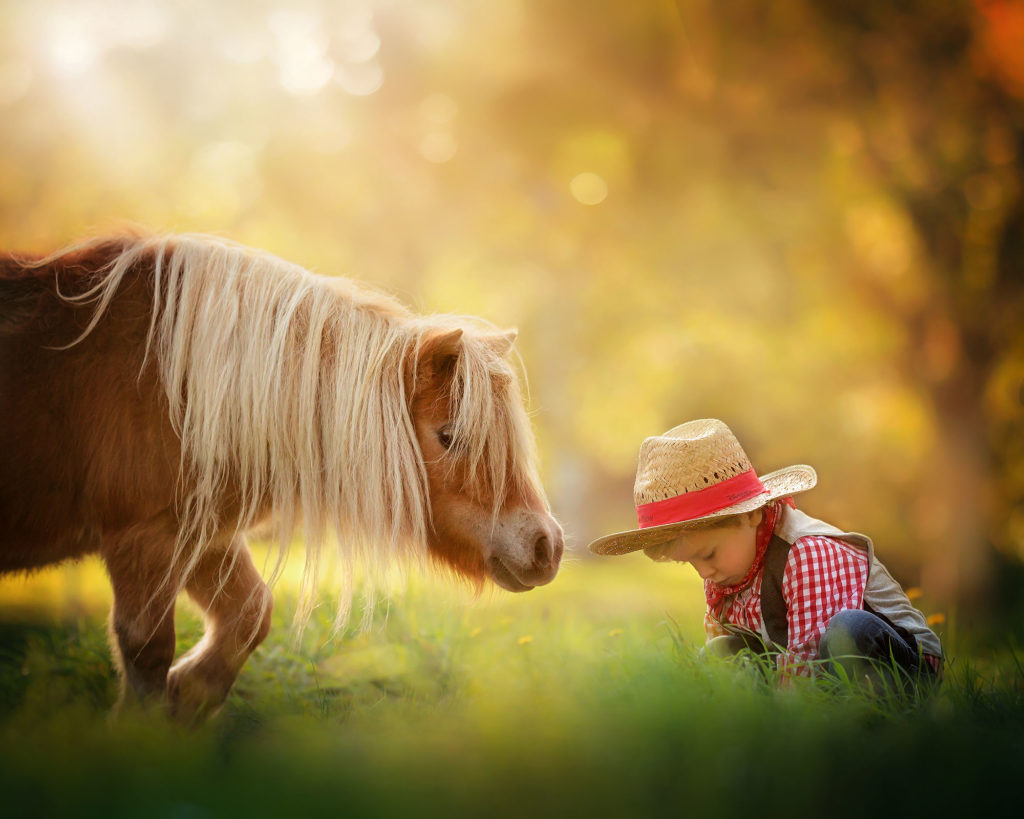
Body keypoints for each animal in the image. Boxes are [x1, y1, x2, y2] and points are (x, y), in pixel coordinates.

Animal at [0, 231, 563, 720]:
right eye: (449, 435)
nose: (546, 546)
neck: (175, 387)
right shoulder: (143, 539)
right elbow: (148, 651)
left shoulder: (200, 536)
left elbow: (248, 617)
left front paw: (186, 697)